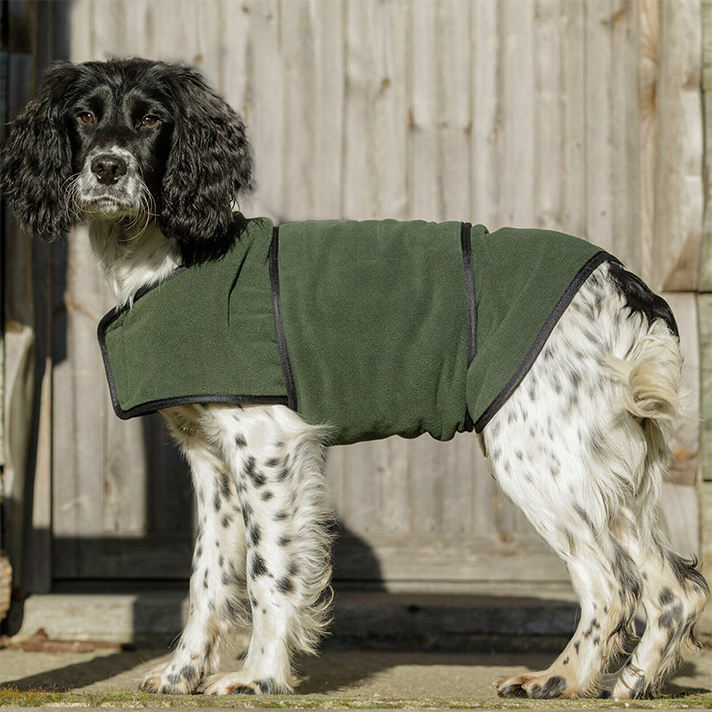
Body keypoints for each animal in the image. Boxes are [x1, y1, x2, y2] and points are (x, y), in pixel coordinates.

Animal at [2, 58, 709, 700]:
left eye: (151, 118)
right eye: (84, 116)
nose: (107, 168)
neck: (169, 257)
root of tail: (623, 280)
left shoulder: (269, 447)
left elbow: (268, 571)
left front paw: (258, 676)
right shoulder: (211, 460)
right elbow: (207, 578)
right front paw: (181, 674)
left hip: (537, 454)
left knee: (611, 583)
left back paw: (561, 680)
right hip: (607, 470)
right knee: (672, 587)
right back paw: (630, 683)